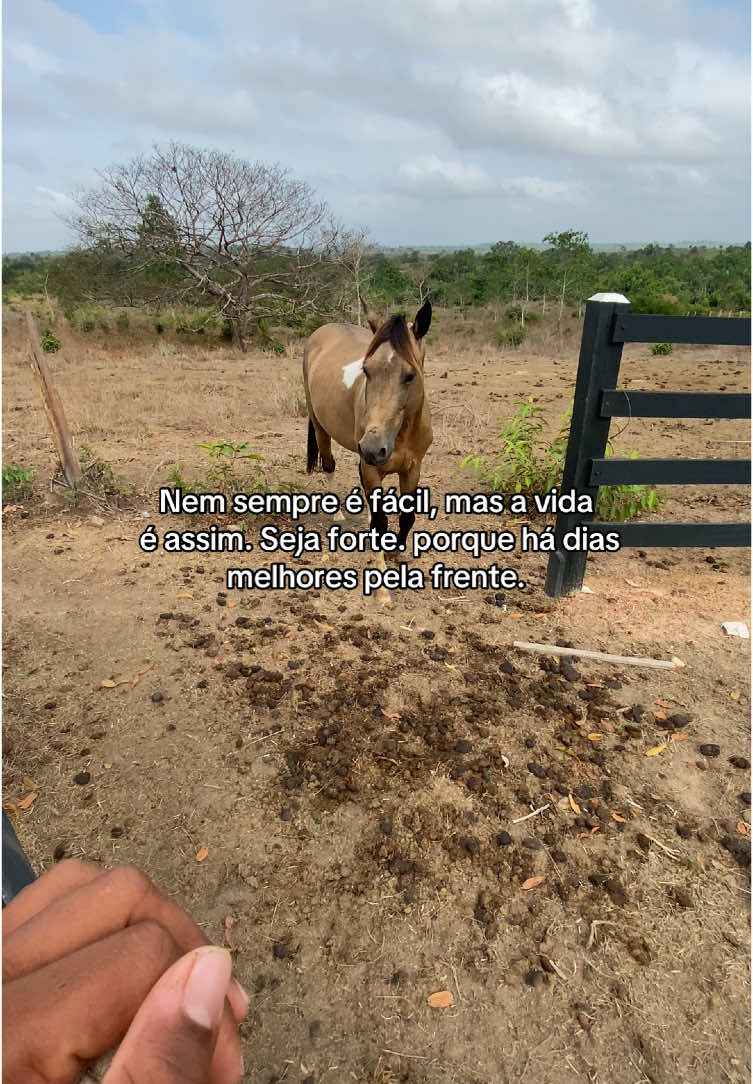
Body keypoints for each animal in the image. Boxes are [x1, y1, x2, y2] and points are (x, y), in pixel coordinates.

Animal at [301, 297, 433, 568]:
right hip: (321, 428)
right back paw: (338, 516)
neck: (400, 434)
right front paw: (381, 558)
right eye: (366, 370)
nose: (374, 447)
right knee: (329, 465)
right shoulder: (372, 467)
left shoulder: (413, 468)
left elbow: (407, 516)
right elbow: (382, 521)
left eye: (410, 375)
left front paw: (397, 551)